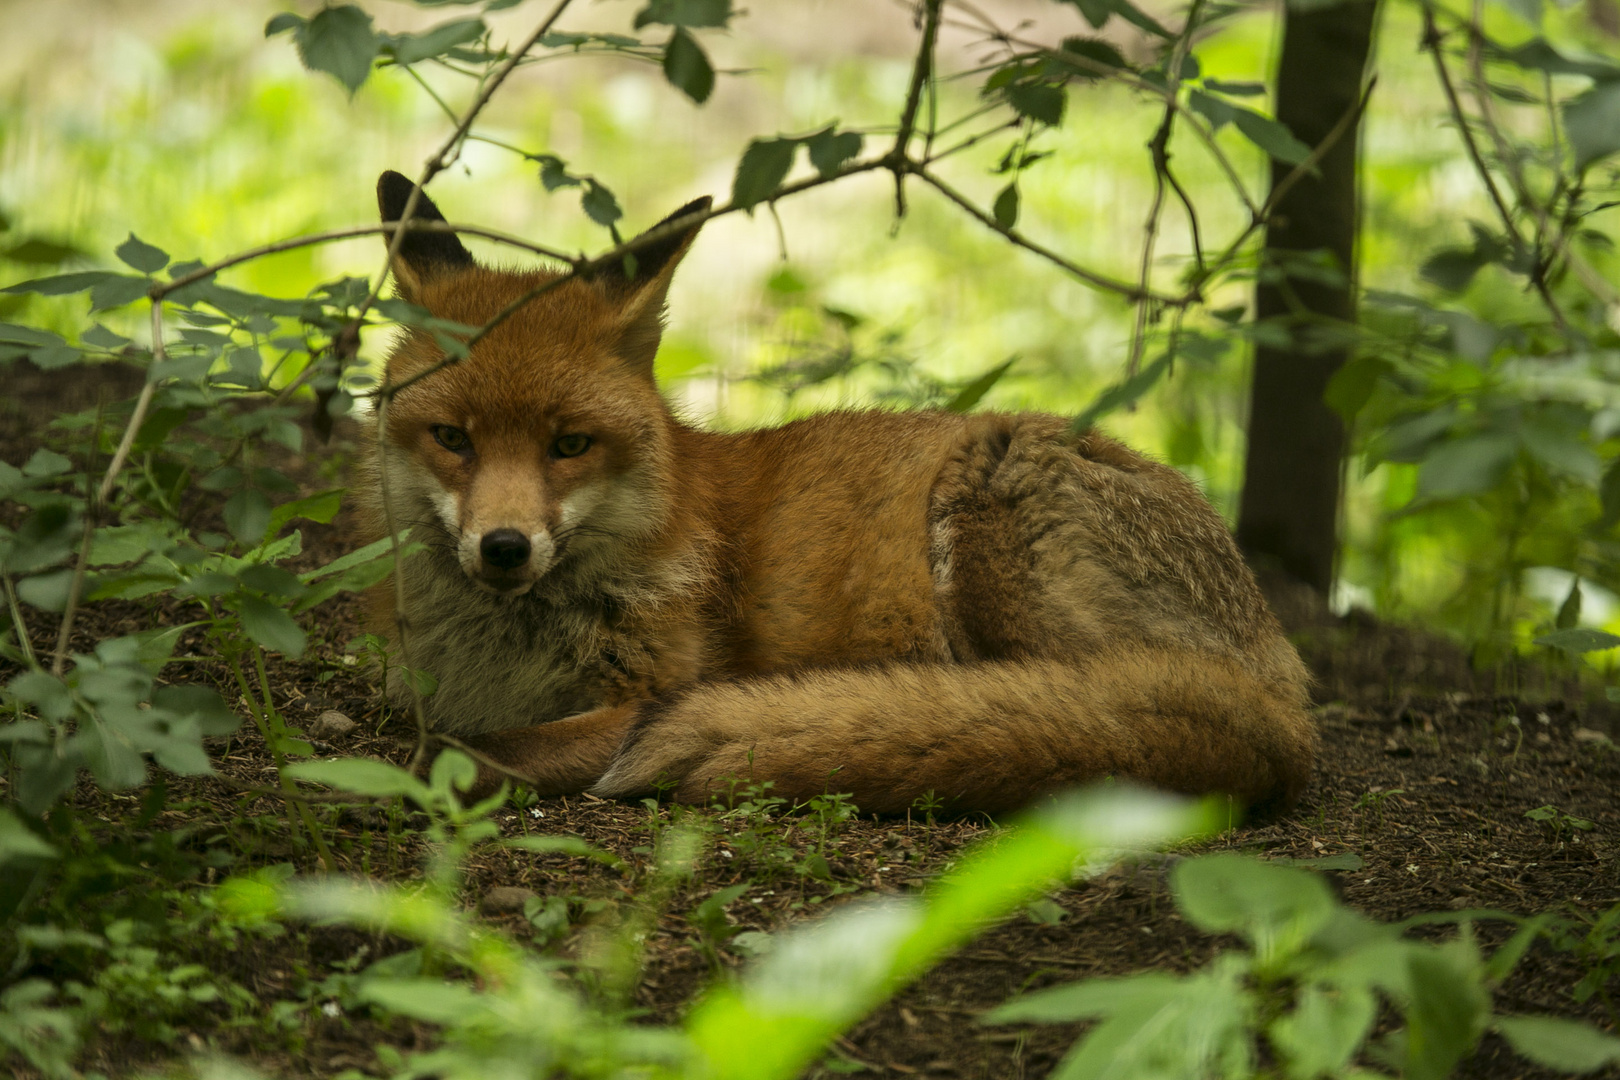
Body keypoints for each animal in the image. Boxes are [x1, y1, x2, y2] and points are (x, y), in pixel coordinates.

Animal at [358, 169, 1315, 816]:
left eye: (569, 446)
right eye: (452, 439)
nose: (504, 547)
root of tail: (1287, 697)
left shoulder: (642, 696)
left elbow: (450, 752)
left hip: (982, 506)